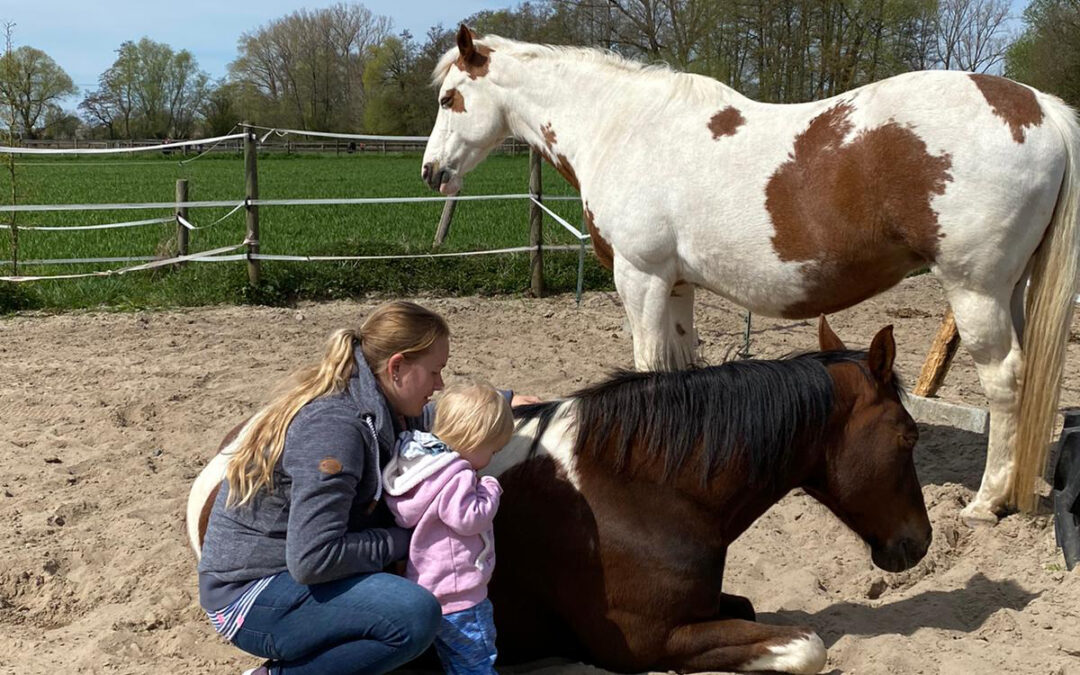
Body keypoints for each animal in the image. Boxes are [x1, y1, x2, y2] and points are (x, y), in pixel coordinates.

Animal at [421, 26, 1080, 524]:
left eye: (450, 98)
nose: (431, 173)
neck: (624, 128)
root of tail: (1039, 107)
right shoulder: (676, 287)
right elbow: (676, 373)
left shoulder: (642, 279)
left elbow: (647, 369)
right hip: (1012, 290)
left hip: (975, 289)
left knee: (1006, 381)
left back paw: (987, 503)